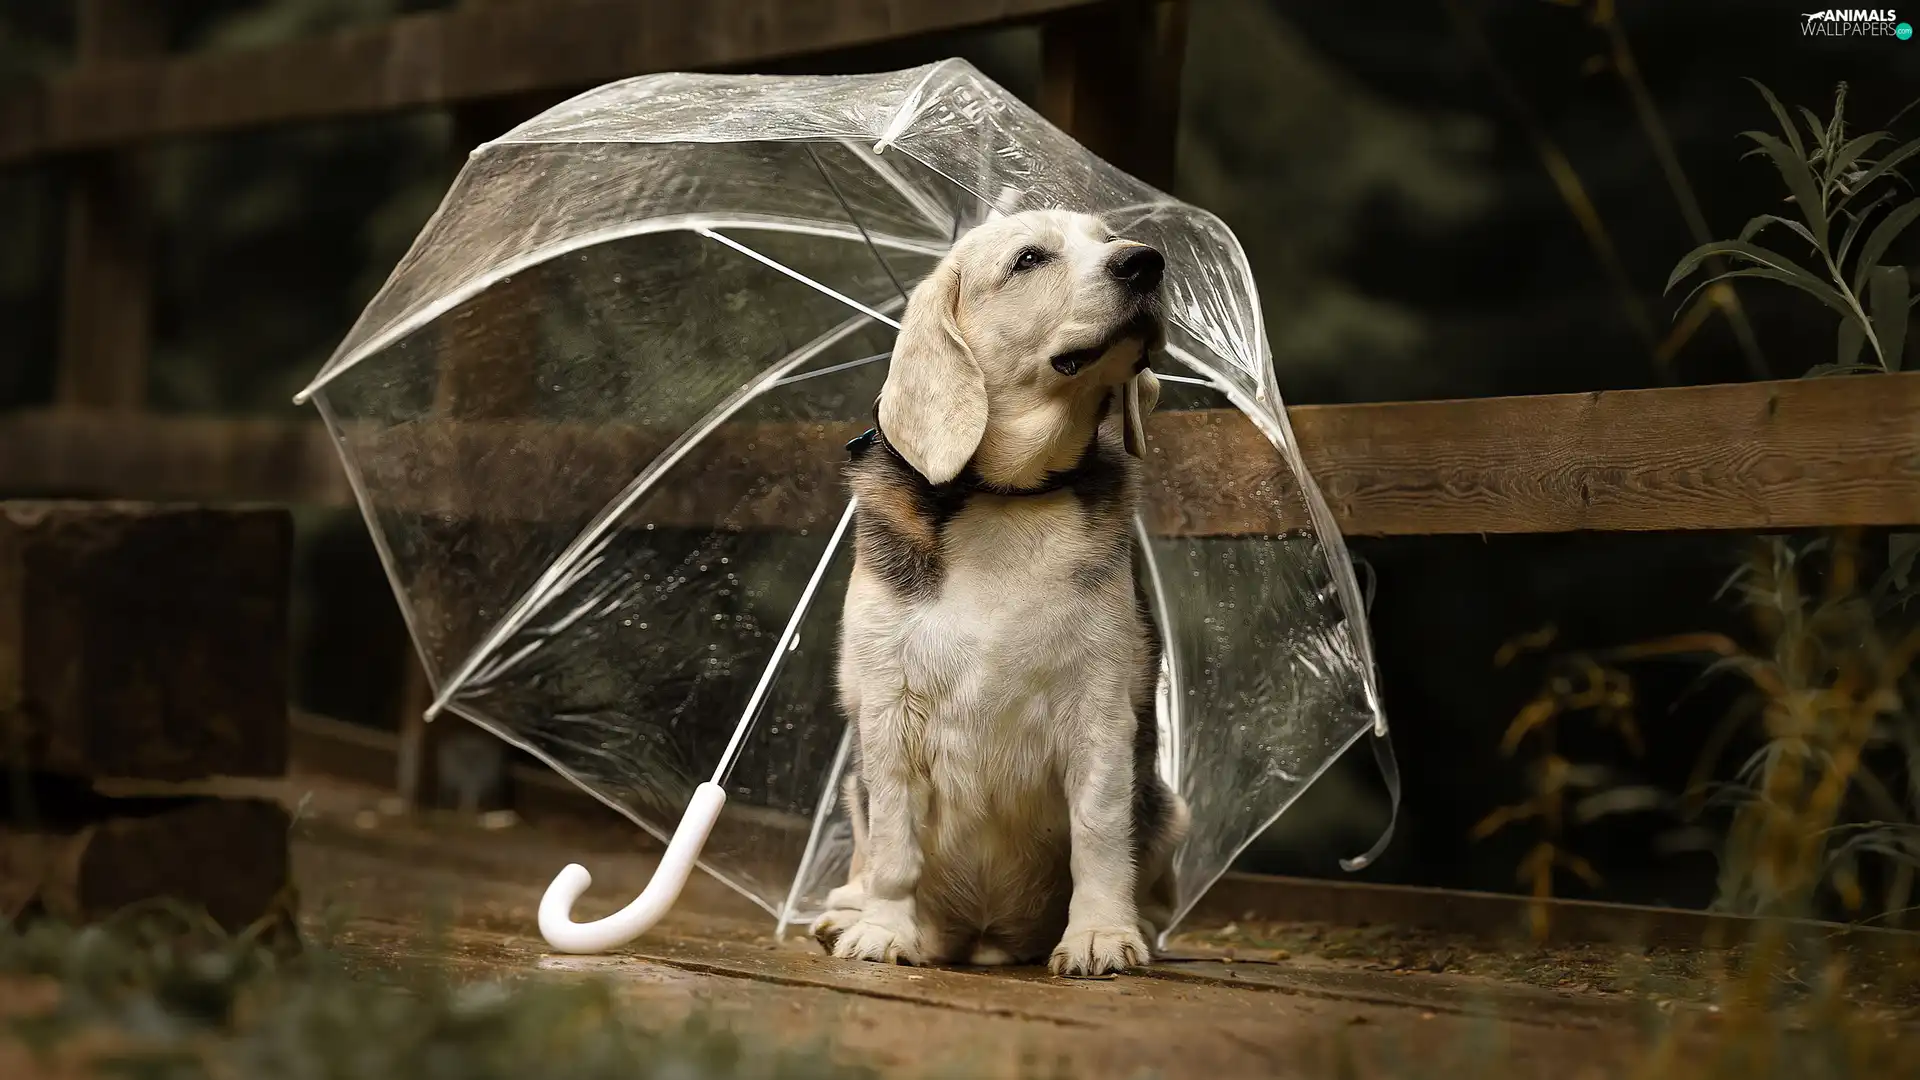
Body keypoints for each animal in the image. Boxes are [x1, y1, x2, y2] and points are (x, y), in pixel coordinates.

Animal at [806, 205, 1182, 972]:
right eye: (1029, 258)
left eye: (1109, 240)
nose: (1145, 262)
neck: (1008, 497)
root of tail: (985, 937)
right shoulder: (887, 712)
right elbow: (893, 849)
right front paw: (884, 931)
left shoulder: (1100, 710)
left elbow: (1100, 835)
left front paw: (1101, 933)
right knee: (862, 862)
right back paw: (848, 916)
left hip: (1169, 808)